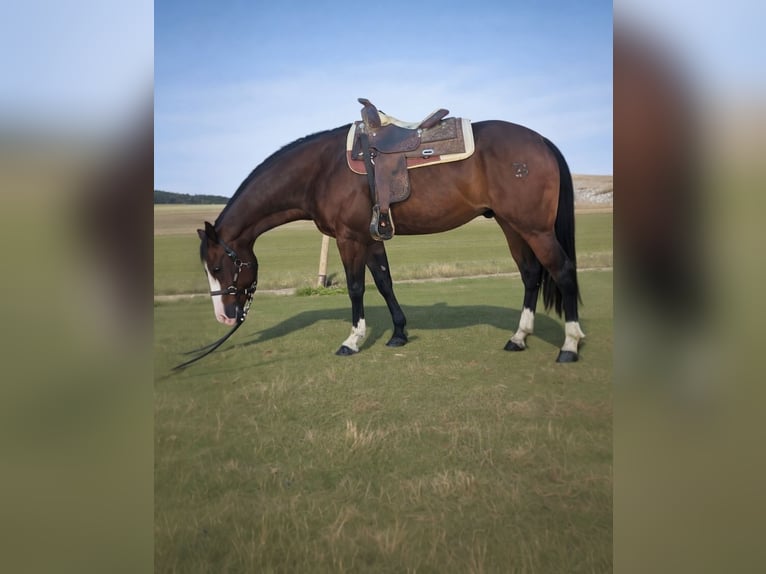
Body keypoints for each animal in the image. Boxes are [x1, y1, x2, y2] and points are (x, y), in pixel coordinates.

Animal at [185, 110, 584, 369]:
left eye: (217, 267)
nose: (224, 317)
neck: (321, 170)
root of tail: (541, 141)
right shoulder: (371, 237)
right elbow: (384, 282)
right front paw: (399, 333)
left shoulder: (349, 238)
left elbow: (355, 288)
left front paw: (352, 341)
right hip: (511, 225)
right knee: (531, 274)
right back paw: (519, 338)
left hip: (534, 228)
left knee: (562, 271)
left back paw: (569, 345)